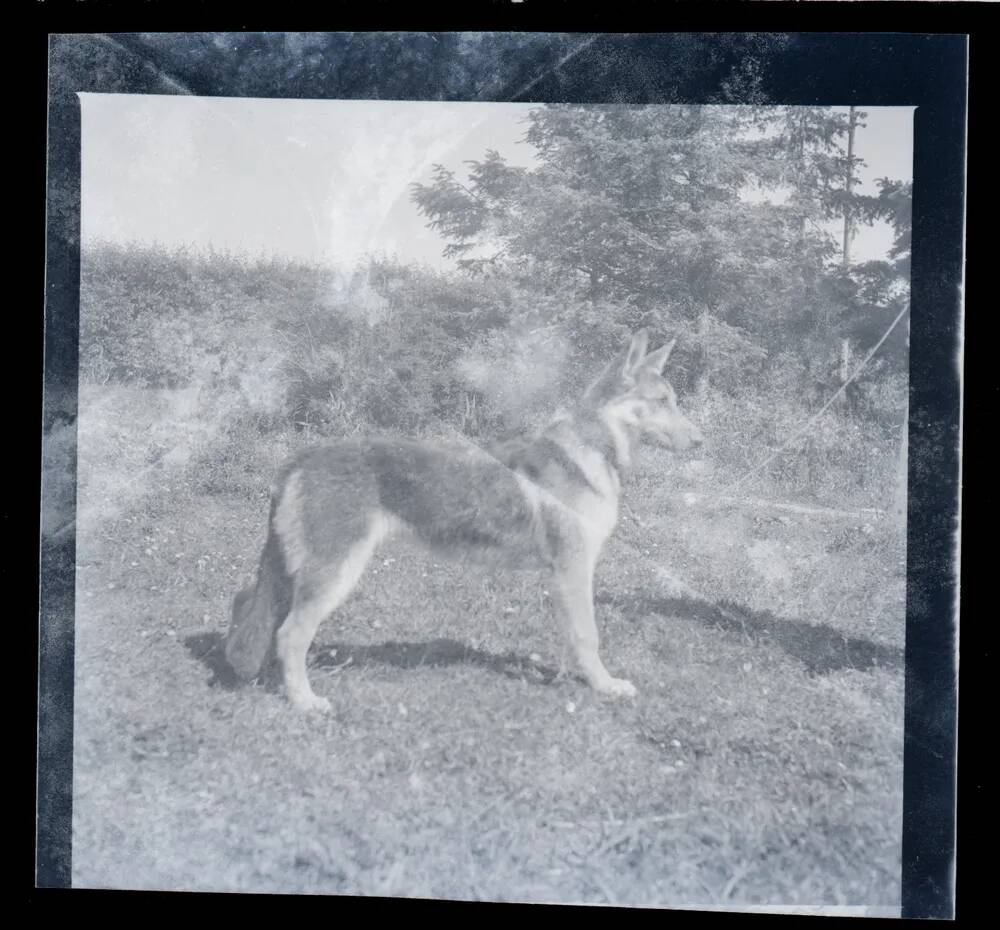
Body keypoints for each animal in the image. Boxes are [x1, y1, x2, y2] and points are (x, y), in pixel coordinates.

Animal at [225, 330, 704, 716]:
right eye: (663, 402)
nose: (701, 441)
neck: (590, 448)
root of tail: (301, 458)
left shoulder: (567, 577)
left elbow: (574, 635)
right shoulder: (573, 570)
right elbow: (588, 637)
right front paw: (604, 686)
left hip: (295, 574)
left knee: (251, 609)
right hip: (334, 574)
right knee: (290, 635)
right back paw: (304, 702)